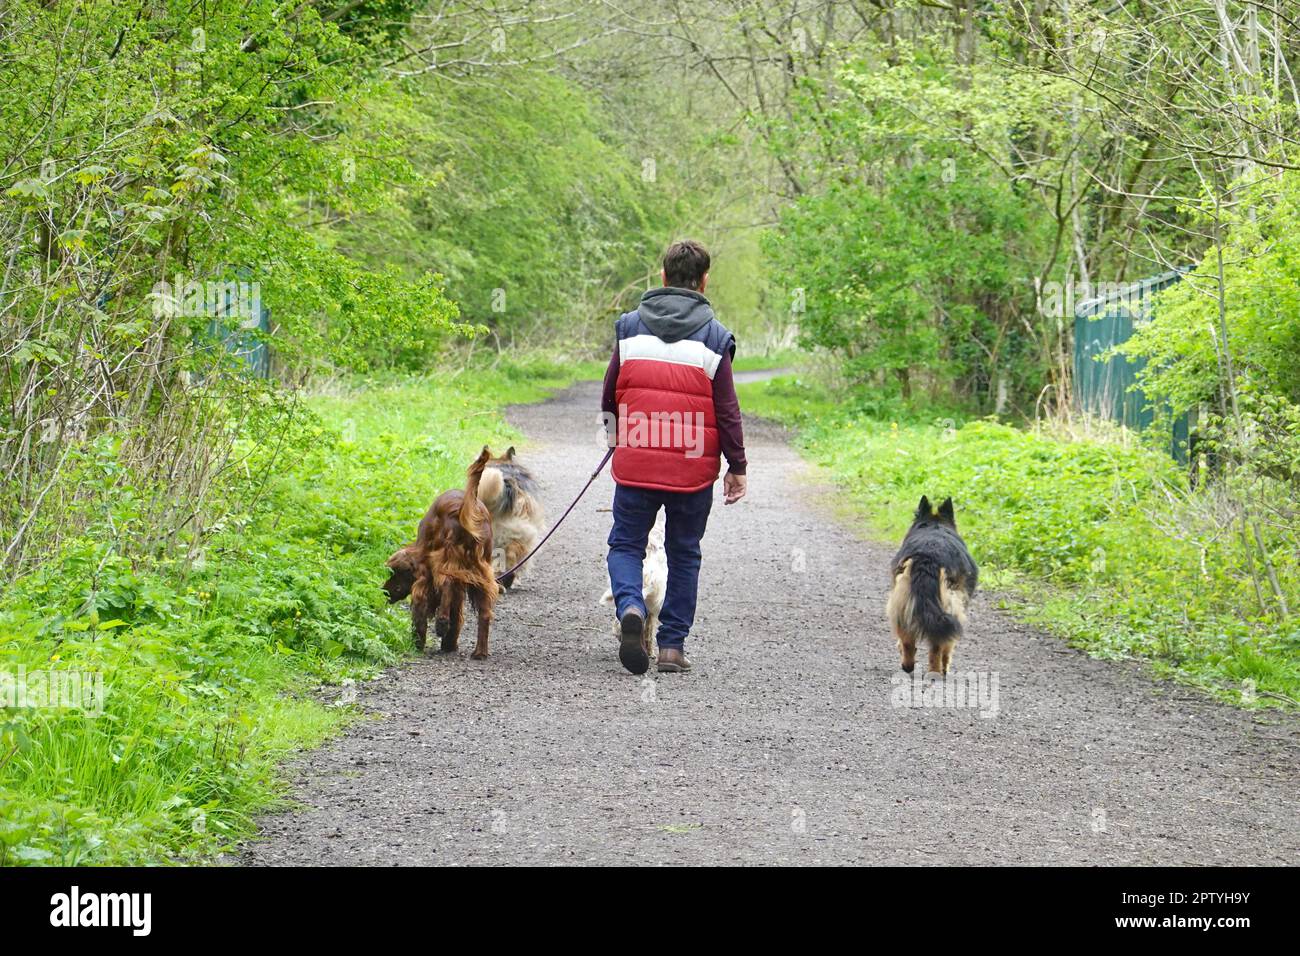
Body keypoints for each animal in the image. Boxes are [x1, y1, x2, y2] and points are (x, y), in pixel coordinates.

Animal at [382, 447, 499, 658]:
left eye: (393, 573)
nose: (384, 591)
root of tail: (463, 508)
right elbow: (457, 612)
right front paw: (450, 644)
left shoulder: (425, 578)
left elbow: (421, 609)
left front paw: (418, 642)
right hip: (483, 572)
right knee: (485, 612)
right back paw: (479, 652)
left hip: (445, 560)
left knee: (446, 582)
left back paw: (442, 623)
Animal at [889, 496, 977, 676]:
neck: (934, 525)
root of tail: (928, 557)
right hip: (949, 610)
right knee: (938, 644)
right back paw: (937, 671)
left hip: (903, 603)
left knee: (908, 640)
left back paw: (908, 665)